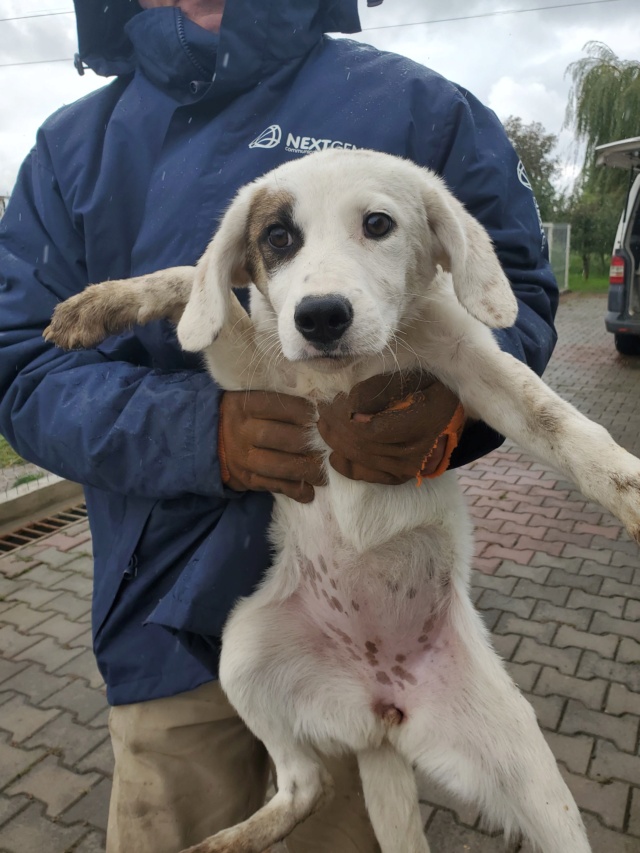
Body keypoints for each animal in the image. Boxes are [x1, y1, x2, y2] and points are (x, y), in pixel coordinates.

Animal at [45, 150, 640, 852]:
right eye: (277, 238)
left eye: (378, 224)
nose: (321, 316)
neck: (347, 375)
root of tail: (379, 710)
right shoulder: (261, 376)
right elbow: (190, 281)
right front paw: (101, 303)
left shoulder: (469, 367)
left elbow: (563, 426)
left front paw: (630, 488)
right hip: (242, 652)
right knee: (306, 785)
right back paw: (228, 838)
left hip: (531, 772)